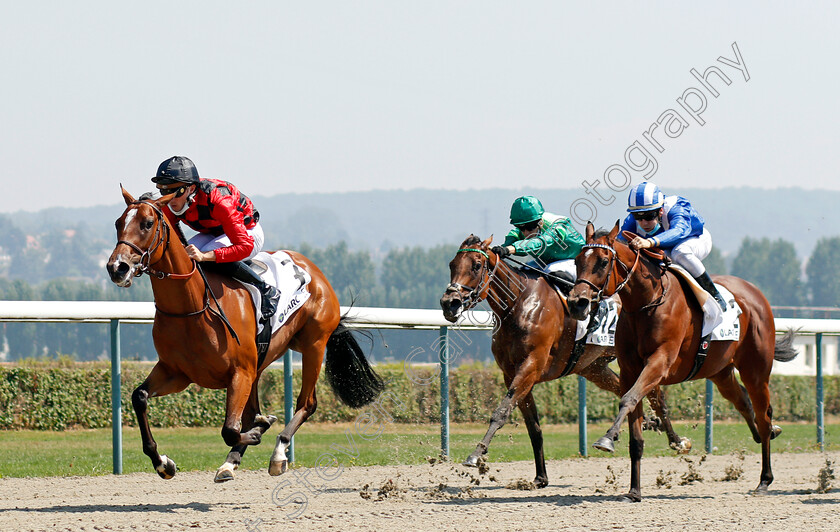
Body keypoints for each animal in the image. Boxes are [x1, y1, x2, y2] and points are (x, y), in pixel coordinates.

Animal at [436, 235, 684, 488]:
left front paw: (476, 454)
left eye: (477, 265)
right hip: (594, 367)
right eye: (452, 265)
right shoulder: (512, 373)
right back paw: (652, 424)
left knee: (657, 397)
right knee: (630, 390)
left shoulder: (530, 366)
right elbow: (533, 427)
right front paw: (540, 477)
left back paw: (677, 440)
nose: (449, 303)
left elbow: (502, 411)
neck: (518, 304)